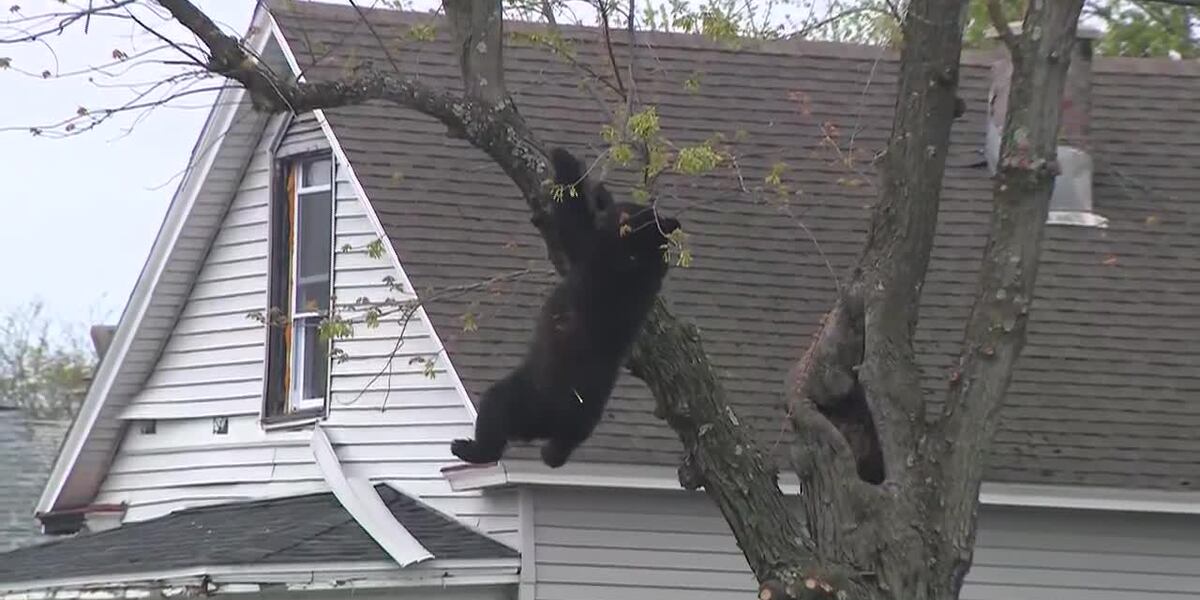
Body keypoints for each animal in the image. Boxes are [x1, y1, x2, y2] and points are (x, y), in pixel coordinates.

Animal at [450, 147, 682, 468]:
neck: (640, 257)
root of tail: (558, 422)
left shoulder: (599, 255)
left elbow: (573, 225)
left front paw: (565, 159)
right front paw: (599, 191)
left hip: (527, 396)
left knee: (495, 409)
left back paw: (469, 448)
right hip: (570, 421)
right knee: (560, 445)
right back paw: (551, 453)